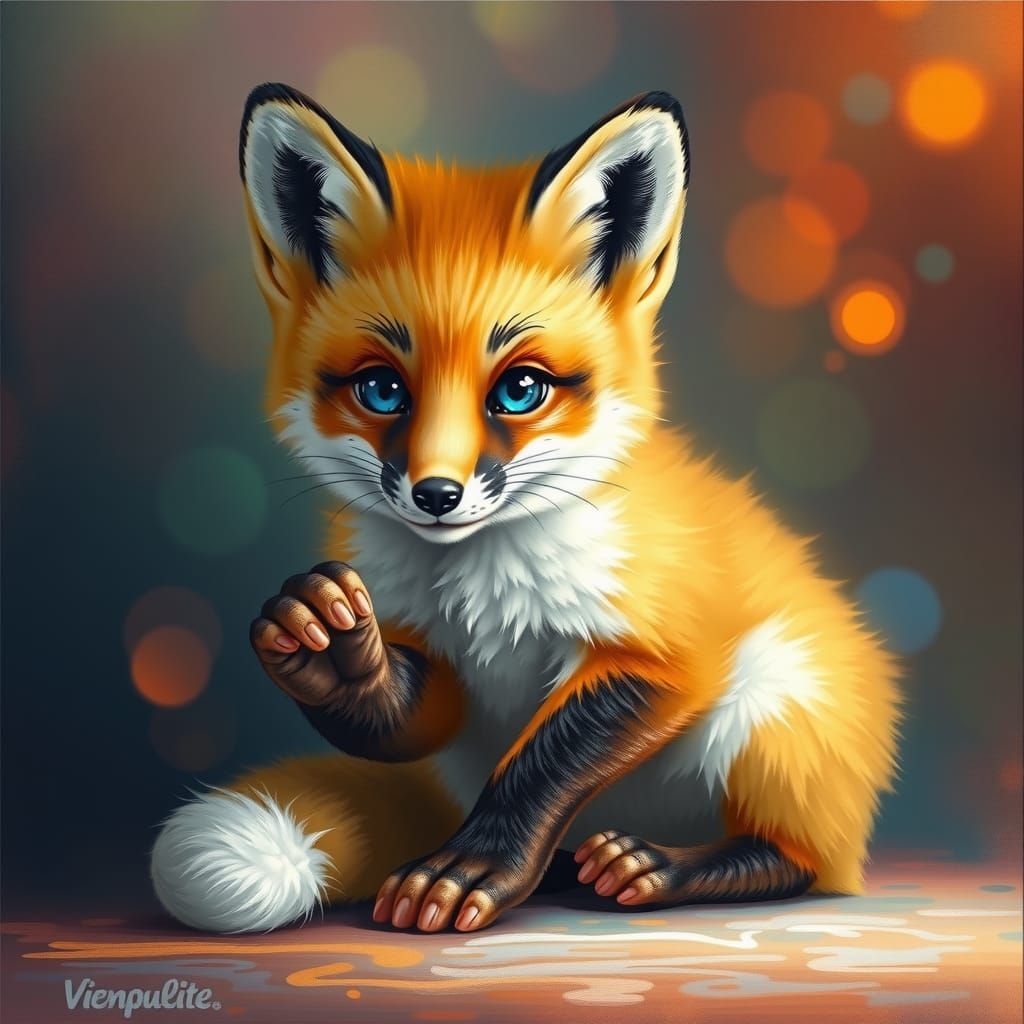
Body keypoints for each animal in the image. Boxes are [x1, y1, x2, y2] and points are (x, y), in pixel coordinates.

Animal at [150, 83, 901, 935]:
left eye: (519, 389)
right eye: (382, 389)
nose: (436, 495)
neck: (481, 584)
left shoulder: (665, 649)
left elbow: (539, 762)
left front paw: (476, 865)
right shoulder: (441, 666)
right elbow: (407, 710)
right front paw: (336, 655)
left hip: (777, 708)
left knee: (793, 859)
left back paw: (660, 867)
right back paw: (570, 869)